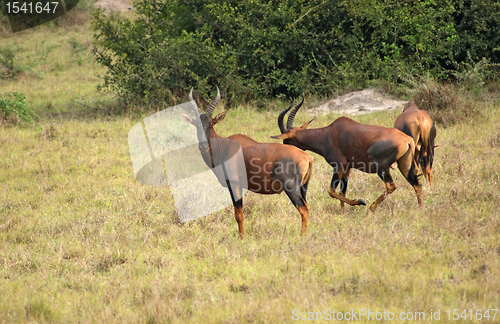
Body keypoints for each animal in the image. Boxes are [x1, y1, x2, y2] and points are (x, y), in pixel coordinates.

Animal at [182, 88, 312, 238]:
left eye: (211, 123)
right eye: (196, 125)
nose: (203, 147)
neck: (225, 146)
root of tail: (307, 156)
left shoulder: (234, 184)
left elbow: (238, 214)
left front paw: (242, 238)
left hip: (291, 188)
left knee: (303, 209)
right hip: (303, 188)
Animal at [274, 100, 422, 211]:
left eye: (286, 141)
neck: (328, 134)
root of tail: (407, 139)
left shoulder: (339, 165)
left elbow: (331, 191)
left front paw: (360, 201)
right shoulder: (347, 168)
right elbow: (342, 191)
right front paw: (343, 211)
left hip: (380, 167)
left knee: (391, 186)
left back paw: (370, 208)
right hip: (404, 165)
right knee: (417, 184)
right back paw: (420, 208)